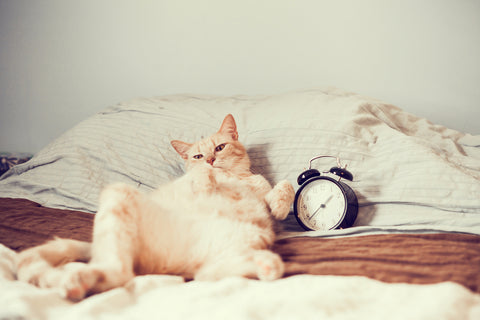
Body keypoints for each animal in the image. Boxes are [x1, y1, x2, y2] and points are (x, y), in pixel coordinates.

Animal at [15, 114, 296, 302]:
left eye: (220, 147)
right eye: (198, 156)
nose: (211, 160)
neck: (233, 178)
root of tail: (173, 264)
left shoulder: (262, 197)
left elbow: (285, 186)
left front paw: (281, 206)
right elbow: (201, 176)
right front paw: (206, 182)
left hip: (247, 239)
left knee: (205, 275)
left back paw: (267, 266)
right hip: (119, 195)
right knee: (121, 274)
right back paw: (79, 281)